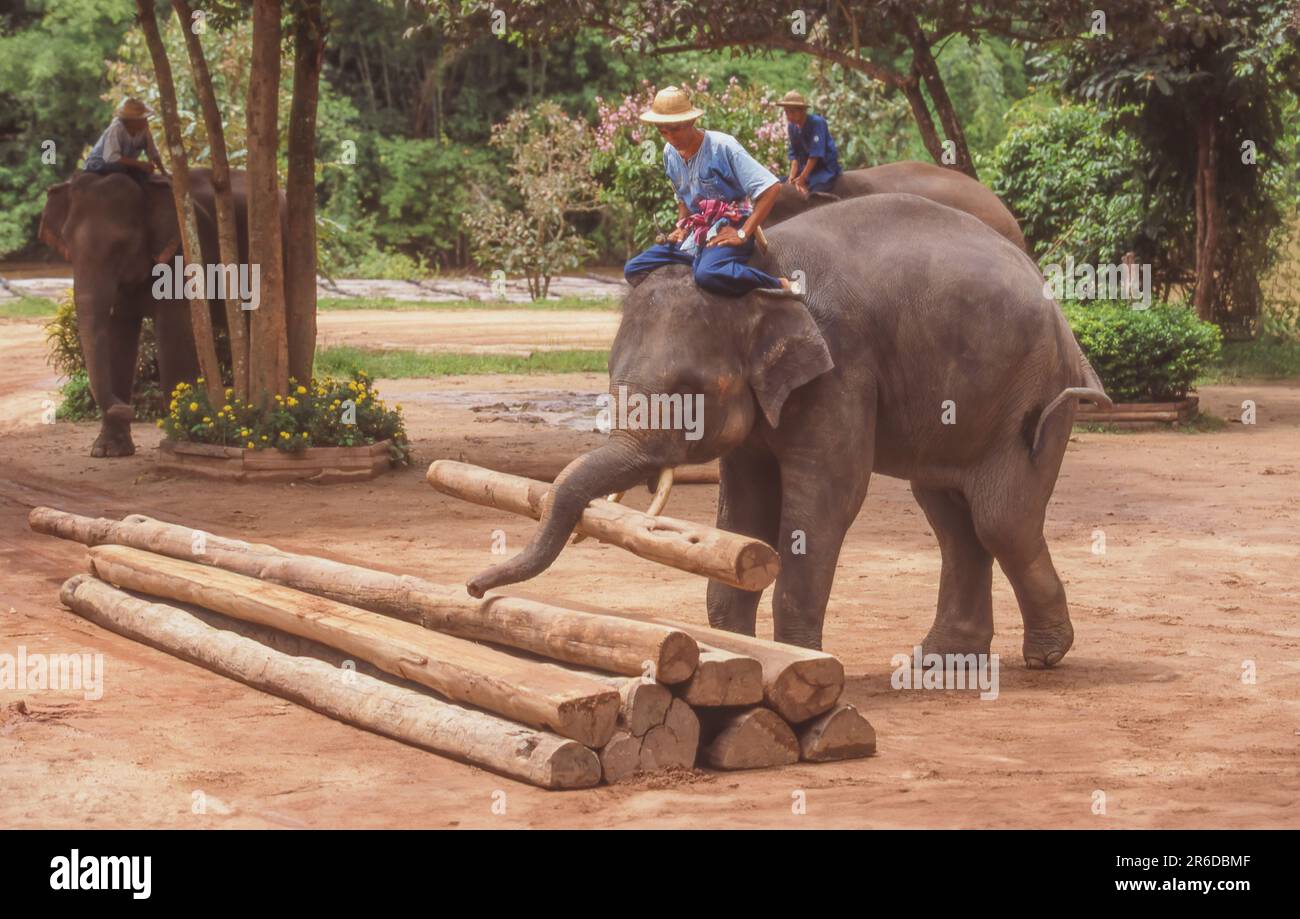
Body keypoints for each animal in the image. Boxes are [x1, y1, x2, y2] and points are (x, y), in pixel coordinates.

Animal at [38, 167, 262, 457]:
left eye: (122, 245)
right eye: (67, 244)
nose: (130, 408)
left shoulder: (182, 256)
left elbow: (173, 334)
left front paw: (181, 440)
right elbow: (117, 336)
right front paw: (109, 451)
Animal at [467, 193, 1107, 670]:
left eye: (692, 390)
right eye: (610, 375)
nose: (475, 590)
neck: (759, 279)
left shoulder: (842, 369)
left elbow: (827, 497)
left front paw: (801, 658)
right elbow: (745, 505)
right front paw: (739, 649)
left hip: (1031, 394)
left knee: (1000, 520)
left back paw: (1045, 656)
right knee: (952, 518)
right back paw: (941, 661)